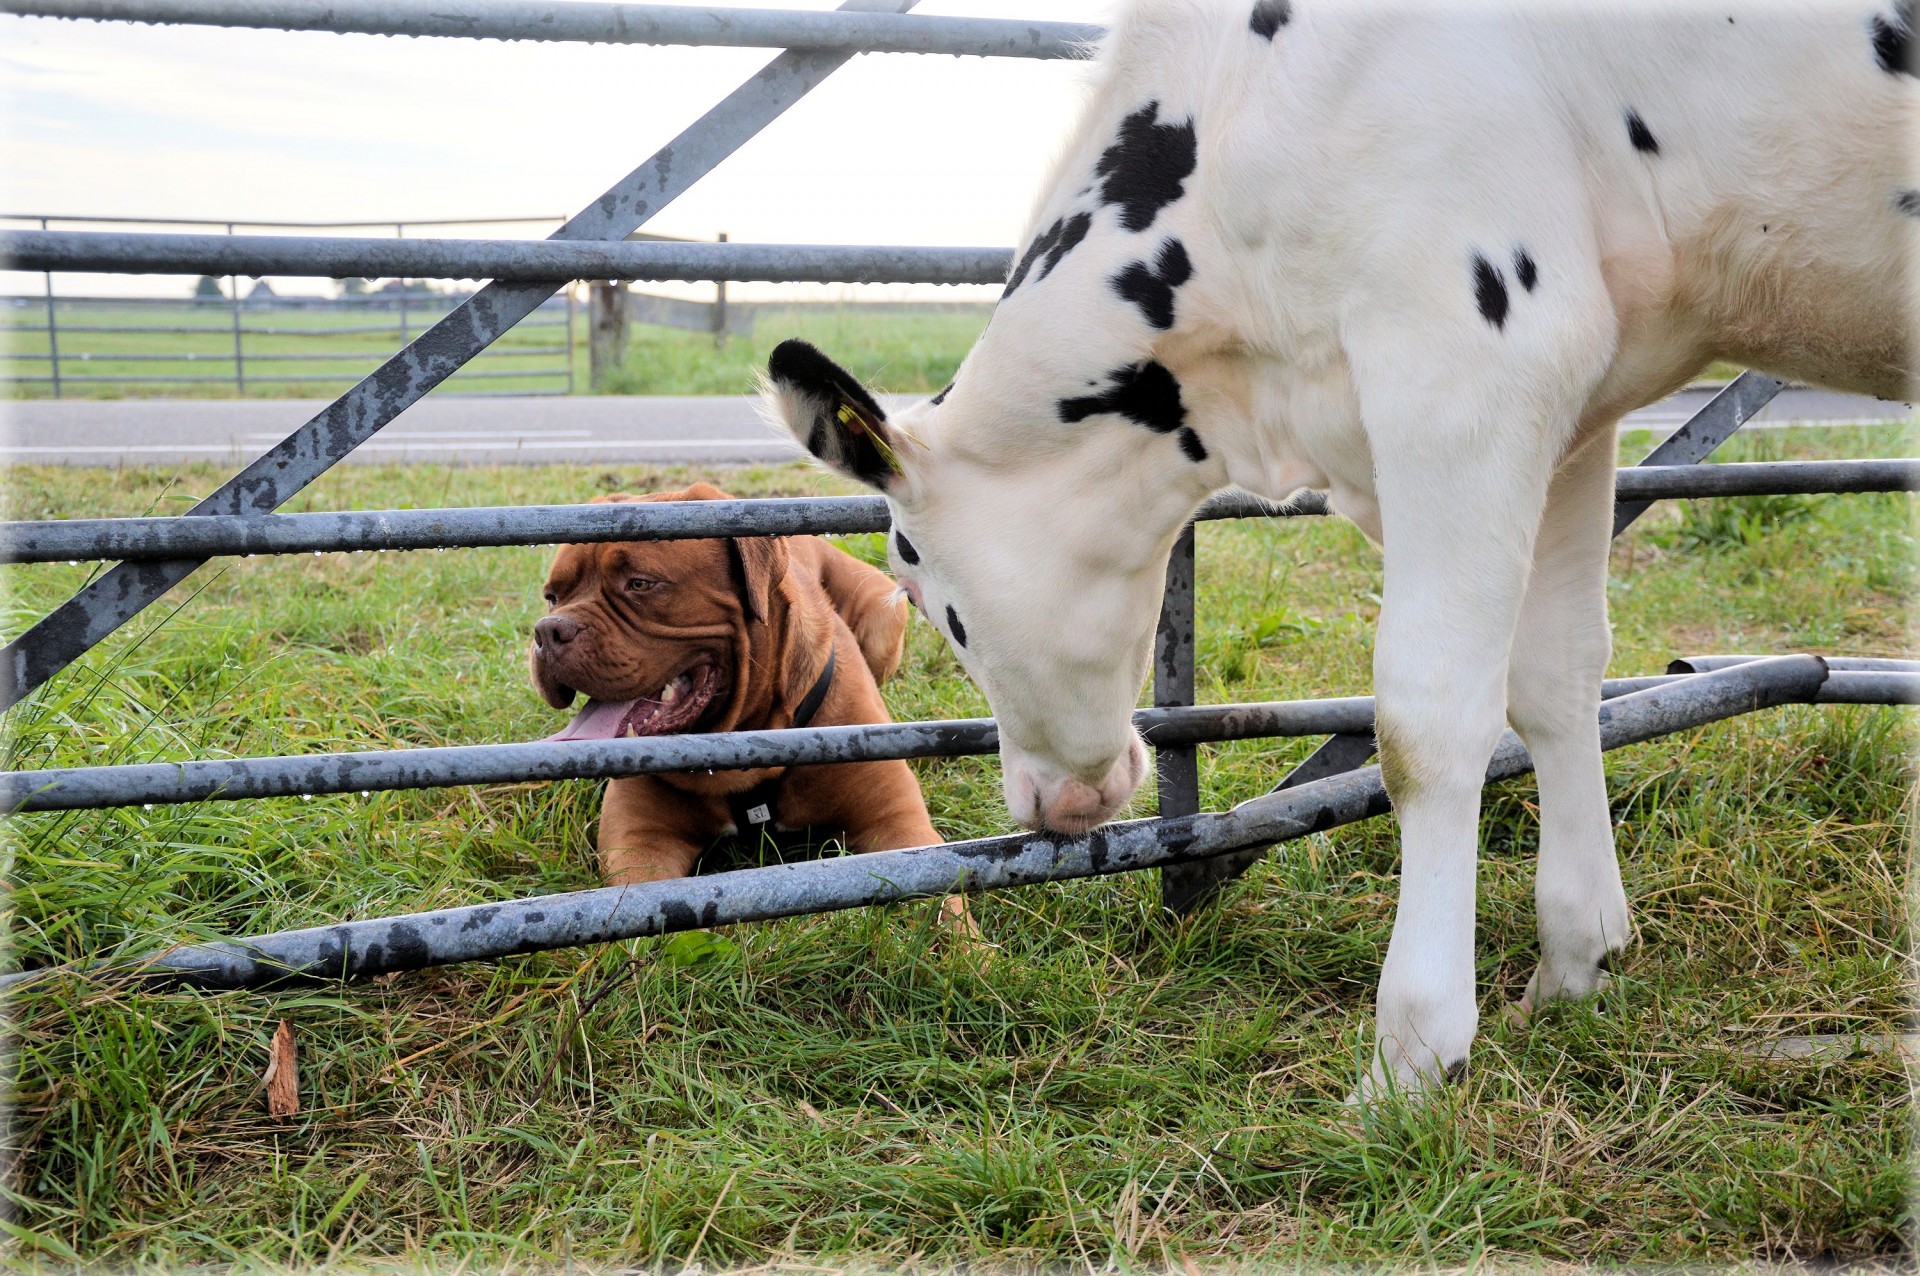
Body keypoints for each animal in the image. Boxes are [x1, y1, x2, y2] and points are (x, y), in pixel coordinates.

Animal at [526, 483, 975, 932]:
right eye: (552, 597)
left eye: (639, 583)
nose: (547, 631)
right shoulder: (640, 841)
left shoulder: (897, 825)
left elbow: (944, 906)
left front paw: (969, 947)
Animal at [764, 0, 1920, 1097]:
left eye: (927, 591)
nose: (1047, 809)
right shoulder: (1574, 403)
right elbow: (1556, 680)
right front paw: (1577, 964)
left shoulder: (1468, 363)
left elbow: (1428, 721)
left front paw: (1412, 1055)